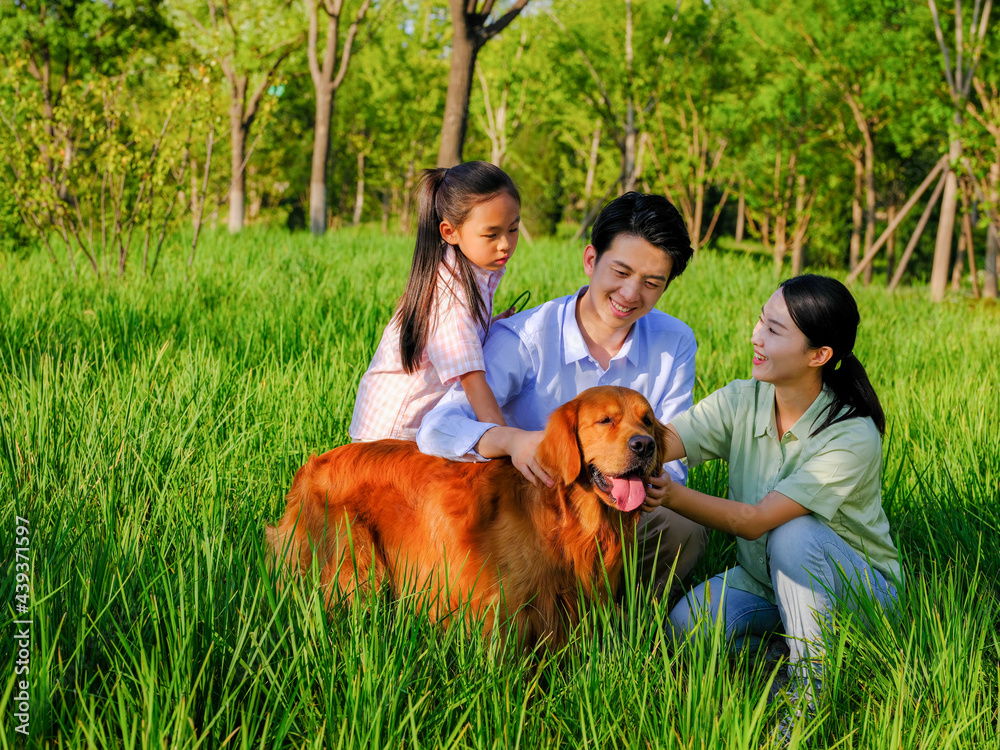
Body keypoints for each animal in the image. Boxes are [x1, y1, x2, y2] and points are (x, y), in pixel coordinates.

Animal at [270, 384, 668, 648]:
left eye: (647, 421)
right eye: (605, 421)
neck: (567, 519)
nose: (644, 445)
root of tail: (312, 467)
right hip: (357, 563)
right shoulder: (502, 608)